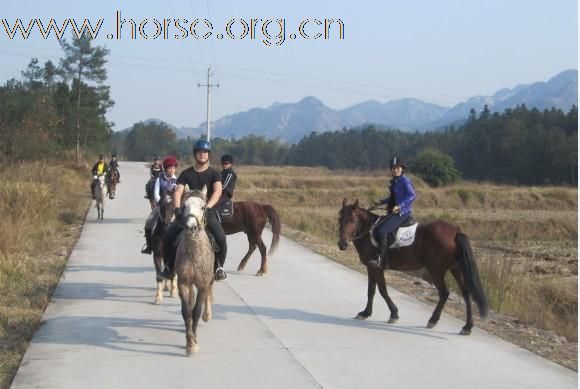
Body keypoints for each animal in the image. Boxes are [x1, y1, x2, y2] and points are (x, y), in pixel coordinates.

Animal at [336, 199, 490, 334]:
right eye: (340, 219)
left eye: (352, 220)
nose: (342, 244)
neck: (368, 231)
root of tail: (455, 232)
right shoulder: (371, 267)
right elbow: (371, 290)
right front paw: (365, 313)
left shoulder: (376, 267)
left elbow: (382, 290)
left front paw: (394, 314)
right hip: (456, 269)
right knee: (466, 294)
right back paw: (467, 327)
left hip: (436, 270)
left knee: (444, 293)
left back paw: (433, 320)